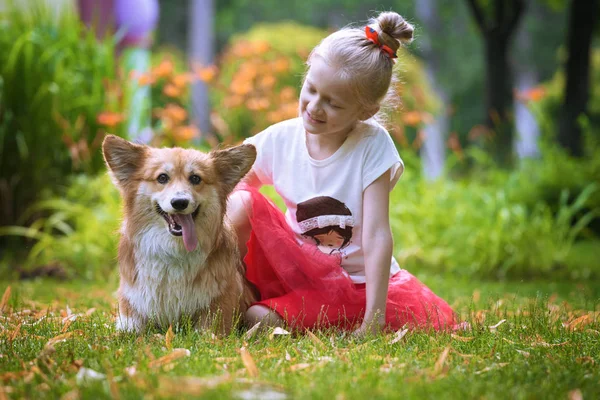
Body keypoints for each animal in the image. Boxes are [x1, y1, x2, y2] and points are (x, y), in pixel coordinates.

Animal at [103, 136, 258, 332]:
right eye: (162, 177)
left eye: (195, 178)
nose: (179, 202)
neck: (173, 252)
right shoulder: (130, 314)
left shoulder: (215, 319)